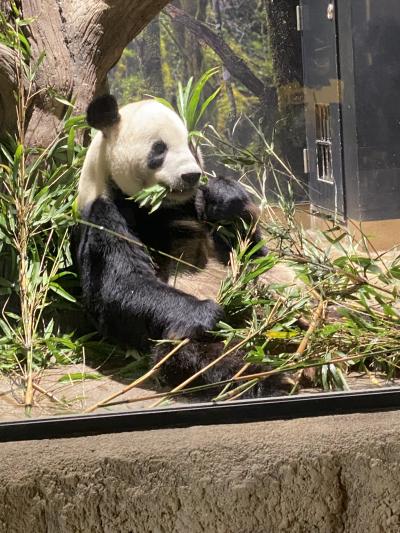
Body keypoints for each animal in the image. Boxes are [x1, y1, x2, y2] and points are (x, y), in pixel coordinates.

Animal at [75, 93, 288, 396]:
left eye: (190, 145)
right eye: (159, 149)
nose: (191, 175)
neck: (161, 205)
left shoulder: (193, 208)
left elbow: (251, 251)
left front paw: (224, 196)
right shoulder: (106, 214)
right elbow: (119, 288)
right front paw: (209, 311)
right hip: (189, 337)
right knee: (199, 353)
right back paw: (267, 375)